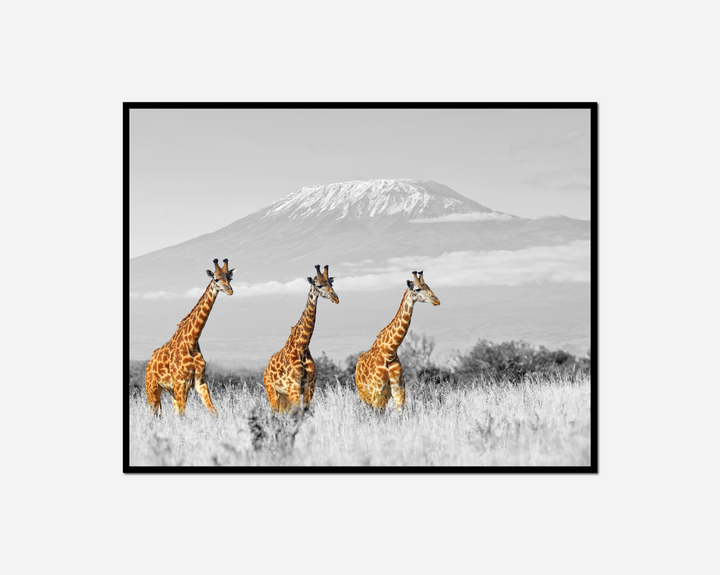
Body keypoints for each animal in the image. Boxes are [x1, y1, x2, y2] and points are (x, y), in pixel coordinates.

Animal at [144, 259, 235, 417]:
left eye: (230, 278)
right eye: (216, 279)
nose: (230, 290)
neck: (192, 341)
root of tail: (148, 364)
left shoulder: (199, 382)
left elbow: (213, 412)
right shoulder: (181, 382)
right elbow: (182, 414)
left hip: (170, 390)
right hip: (153, 387)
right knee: (154, 414)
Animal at [263, 265, 339, 413]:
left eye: (331, 283)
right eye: (319, 285)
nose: (336, 298)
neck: (302, 346)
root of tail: (266, 367)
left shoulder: (310, 386)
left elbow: (305, 411)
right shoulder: (294, 386)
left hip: (284, 395)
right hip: (272, 391)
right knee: (275, 411)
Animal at [354, 271, 440, 412]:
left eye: (428, 286)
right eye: (417, 289)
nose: (436, 300)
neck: (389, 351)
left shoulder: (399, 391)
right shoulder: (377, 392)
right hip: (364, 394)